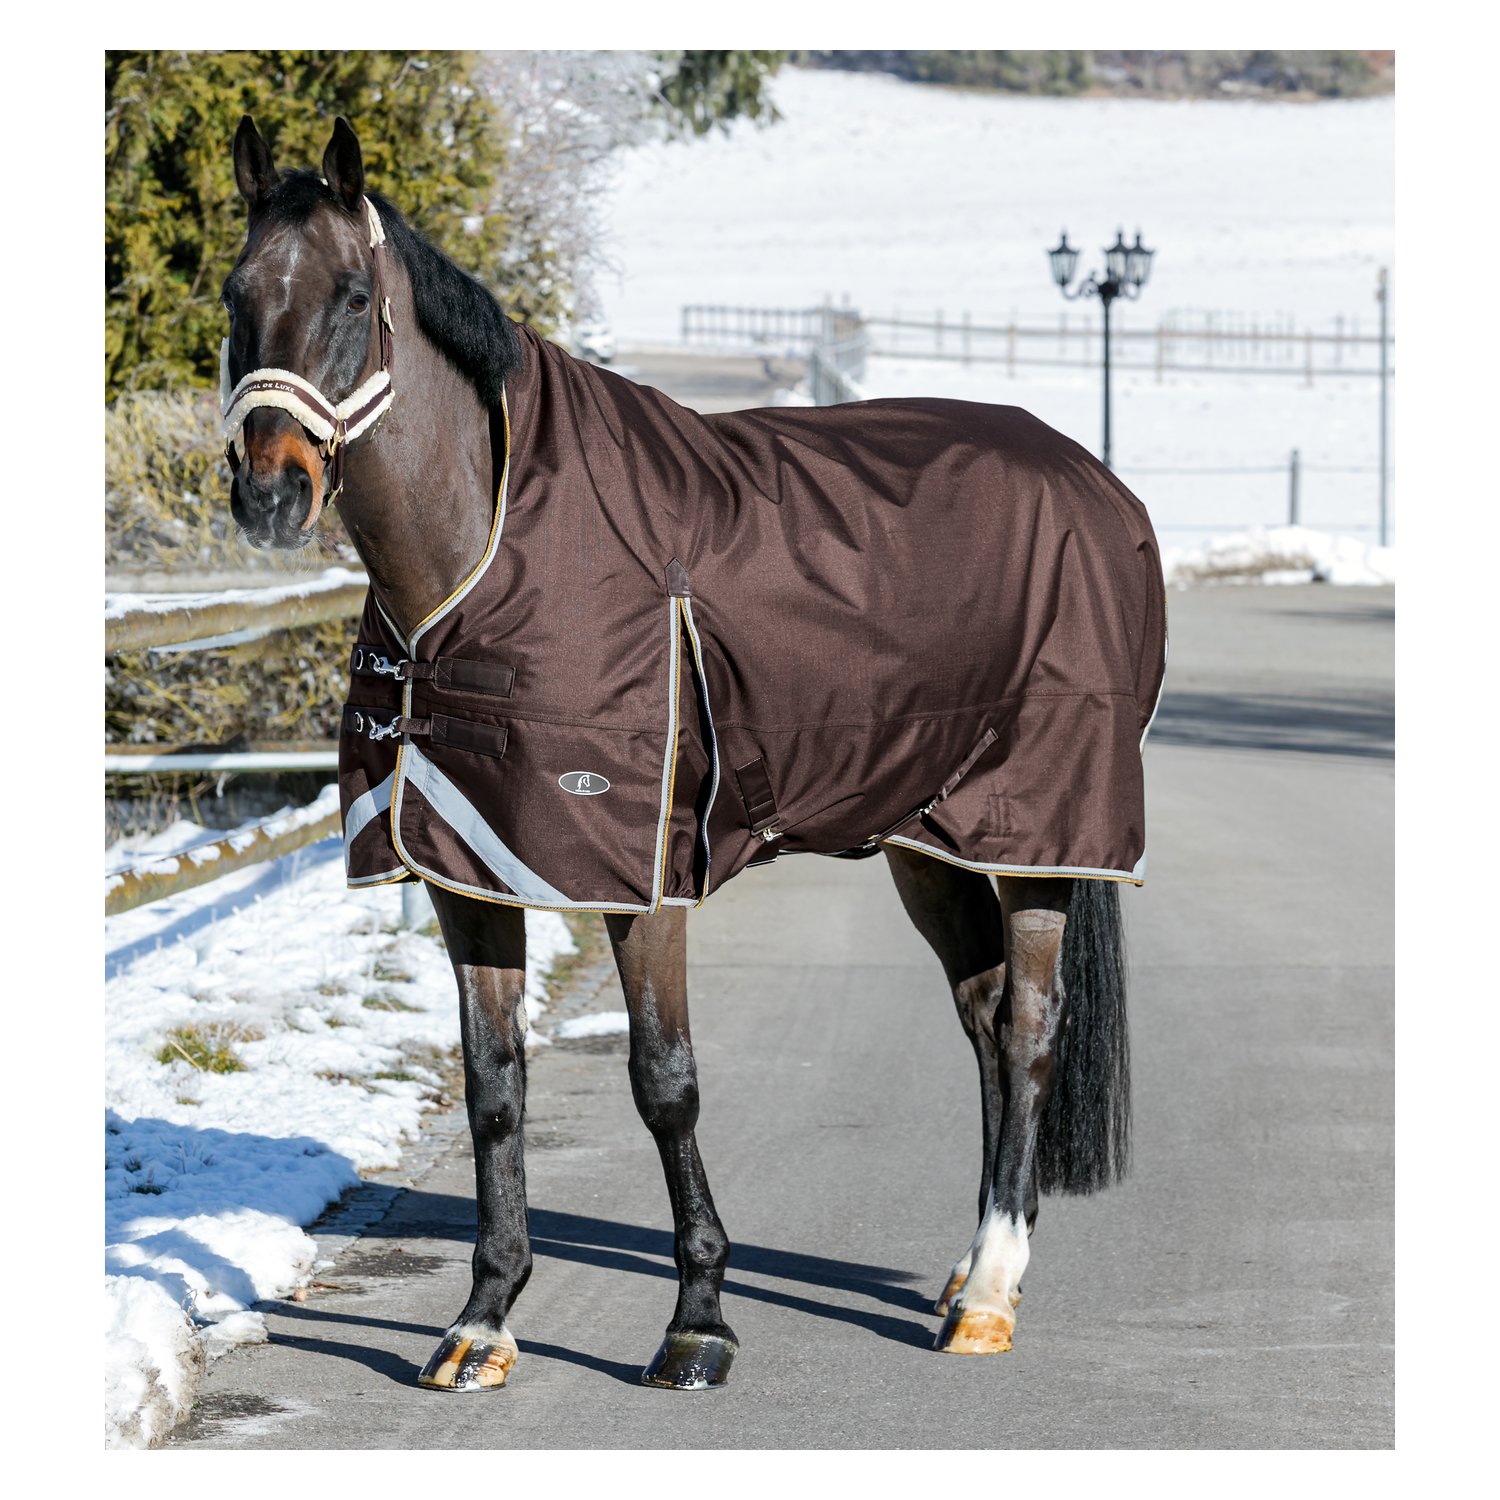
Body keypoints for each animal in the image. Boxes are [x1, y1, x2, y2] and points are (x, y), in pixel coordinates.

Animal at [220, 115, 1165, 1392]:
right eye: (236, 294)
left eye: (353, 295)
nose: (269, 492)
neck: (495, 553)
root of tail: (1096, 481)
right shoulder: (470, 872)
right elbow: (493, 1087)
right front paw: (483, 1321)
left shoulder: (643, 880)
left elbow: (665, 1084)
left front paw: (699, 1321)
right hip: (929, 839)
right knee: (980, 1017)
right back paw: (968, 1270)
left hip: (1043, 836)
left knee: (1027, 1029)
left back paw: (989, 1298)